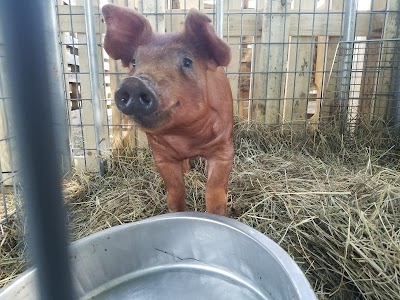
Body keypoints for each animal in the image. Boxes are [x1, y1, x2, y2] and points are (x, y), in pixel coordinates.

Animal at [101, 4, 234, 216]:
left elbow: (214, 192)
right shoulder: (161, 155)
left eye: (187, 61)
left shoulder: (224, 148)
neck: (186, 137)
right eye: (134, 61)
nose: (134, 82)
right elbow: (174, 191)